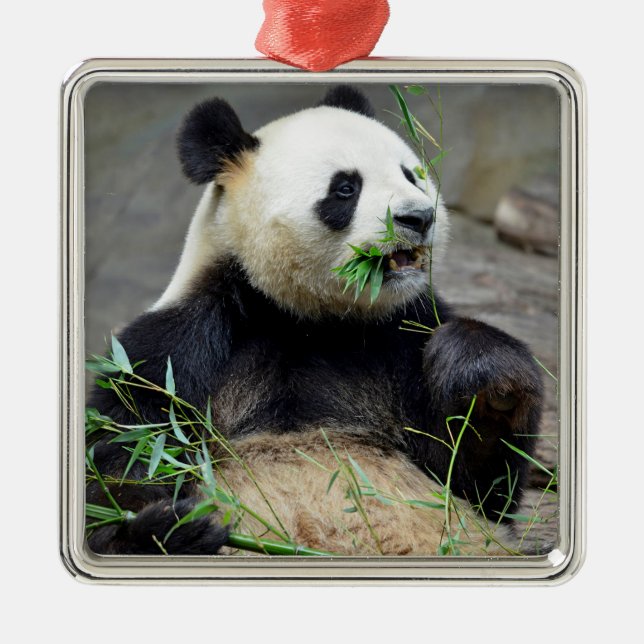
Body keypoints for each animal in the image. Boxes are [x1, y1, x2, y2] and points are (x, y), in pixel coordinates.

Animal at [87, 86, 543, 557]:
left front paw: (484, 376)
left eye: (411, 175)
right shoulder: (182, 344)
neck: (308, 318)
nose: (419, 218)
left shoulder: (403, 334)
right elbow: (129, 448)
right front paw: (164, 527)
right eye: (345, 188)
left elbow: (473, 481)